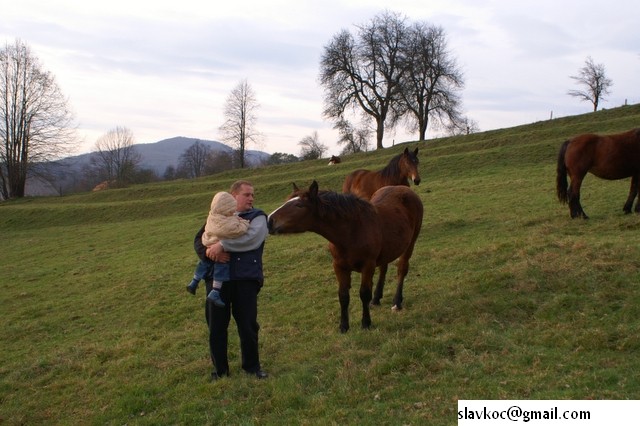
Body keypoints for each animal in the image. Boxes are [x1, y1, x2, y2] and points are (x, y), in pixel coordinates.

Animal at [268, 180, 422, 332]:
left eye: (299, 205)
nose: (269, 221)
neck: (352, 231)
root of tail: (403, 188)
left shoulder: (368, 266)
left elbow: (364, 293)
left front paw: (366, 323)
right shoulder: (339, 266)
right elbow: (343, 296)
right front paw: (343, 326)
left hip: (410, 243)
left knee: (402, 269)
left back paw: (397, 302)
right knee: (383, 269)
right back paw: (376, 299)